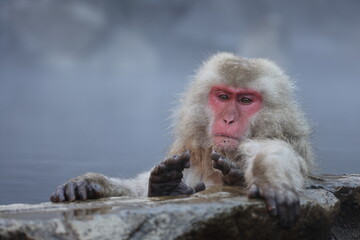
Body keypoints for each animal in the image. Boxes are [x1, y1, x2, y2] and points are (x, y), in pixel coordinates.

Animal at [50, 52, 312, 227]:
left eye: (246, 100)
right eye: (223, 97)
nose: (228, 119)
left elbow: (276, 150)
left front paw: (273, 179)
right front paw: (92, 183)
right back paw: (166, 184)